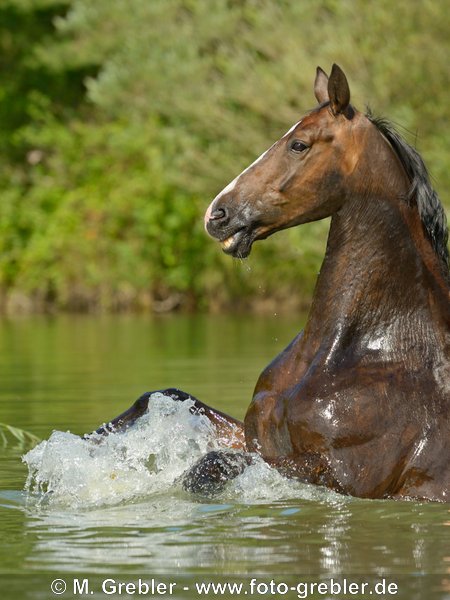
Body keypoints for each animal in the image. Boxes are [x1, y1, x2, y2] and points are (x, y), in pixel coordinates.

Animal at [95, 64, 450, 502]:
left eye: (299, 145)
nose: (217, 214)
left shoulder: (341, 476)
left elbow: (209, 466)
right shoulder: (253, 434)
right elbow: (164, 395)